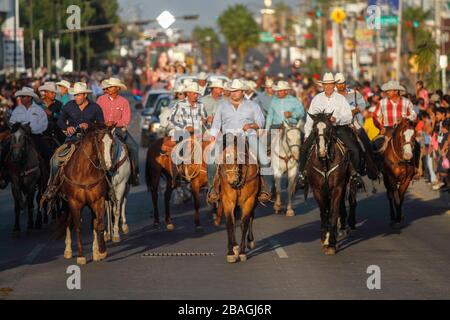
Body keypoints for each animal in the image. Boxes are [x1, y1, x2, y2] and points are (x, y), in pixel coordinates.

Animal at [56, 125, 114, 264]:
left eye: (112, 143)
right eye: (98, 141)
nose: (108, 166)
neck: (85, 171)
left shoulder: (98, 200)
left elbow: (99, 225)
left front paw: (101, 251)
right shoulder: (74, 202)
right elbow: (78, 227)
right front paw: (81, 256)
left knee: (93, 223)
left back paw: (96, 251)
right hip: (67, 203)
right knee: (68, 221)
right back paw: (68, 250)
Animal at [217, 134, 258, 264]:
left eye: (236, 158)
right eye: (223, 159)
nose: (231, 181)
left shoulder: (249, 200)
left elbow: (244, 223)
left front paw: (242, 252)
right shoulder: (228, 201)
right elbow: (230, 223)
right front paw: (231, 252)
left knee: (251, 217)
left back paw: (250, 241)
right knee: (234, 219)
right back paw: (234, 247)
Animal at [306, 112, 352, 255]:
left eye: (329, 129)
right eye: (314, 130)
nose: (322, 151)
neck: (324, 162)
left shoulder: (337, 188)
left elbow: (333, 214)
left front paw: (331, 243)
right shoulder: (317, 190)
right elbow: (323, 213)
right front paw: (324, 239)